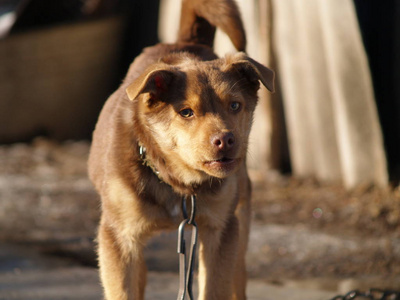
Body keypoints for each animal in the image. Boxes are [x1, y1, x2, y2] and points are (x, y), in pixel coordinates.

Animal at [88, 0, 274, 300]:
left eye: (235, 105)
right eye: (186, 112)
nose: (225, 140)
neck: (180, 183)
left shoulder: (220, 230)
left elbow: (214, 288)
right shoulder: (119, 238)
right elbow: (123, 290)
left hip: (241, 219)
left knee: (238, 279)